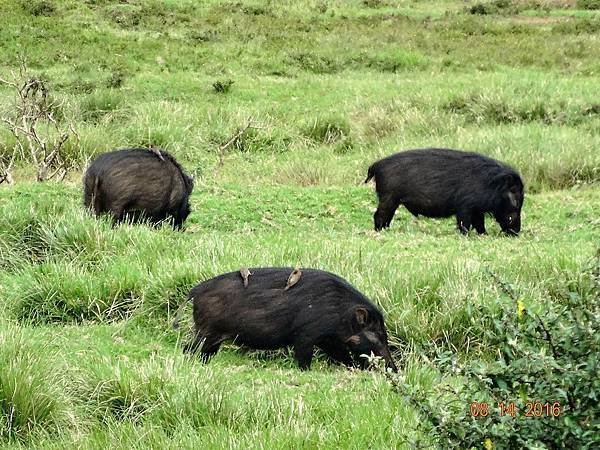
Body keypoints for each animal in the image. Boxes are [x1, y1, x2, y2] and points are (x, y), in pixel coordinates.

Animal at [180, 268, 400, 370]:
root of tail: (195, 291)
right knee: (187, 348)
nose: (394, 368)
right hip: (205, 332)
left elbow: (342, 356)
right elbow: (303, 359)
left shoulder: (329, 340)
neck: (339, 313)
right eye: (378, 335)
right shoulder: (305, 335)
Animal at [364, 149, 524, 237]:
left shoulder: (477, 209)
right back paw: (379, 231)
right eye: (515, 199)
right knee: (379, 215)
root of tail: (376, 165)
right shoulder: (465, 206)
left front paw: (484, 235)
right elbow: (465, 223)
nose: (516, 232)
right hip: (388, 197)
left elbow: (479, 224)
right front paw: (466, 235)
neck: (490, 185)